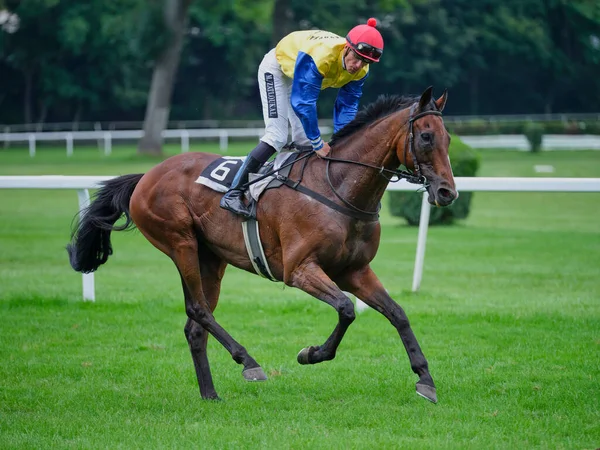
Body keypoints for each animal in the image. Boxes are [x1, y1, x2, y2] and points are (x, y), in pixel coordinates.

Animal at [67, 86, 454, 402]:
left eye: (448, 138)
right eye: (425, 137)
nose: (447, 192)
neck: (338, 187)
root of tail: (147, 175)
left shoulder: (354, 270)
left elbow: (397, 313)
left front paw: (425, 380)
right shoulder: (299, 270)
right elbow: (346, 309)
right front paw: (311, 353)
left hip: (211, 258)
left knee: (195, 326)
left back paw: (210, 394)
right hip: (180, 242)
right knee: (199, 310)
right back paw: (248, 362)